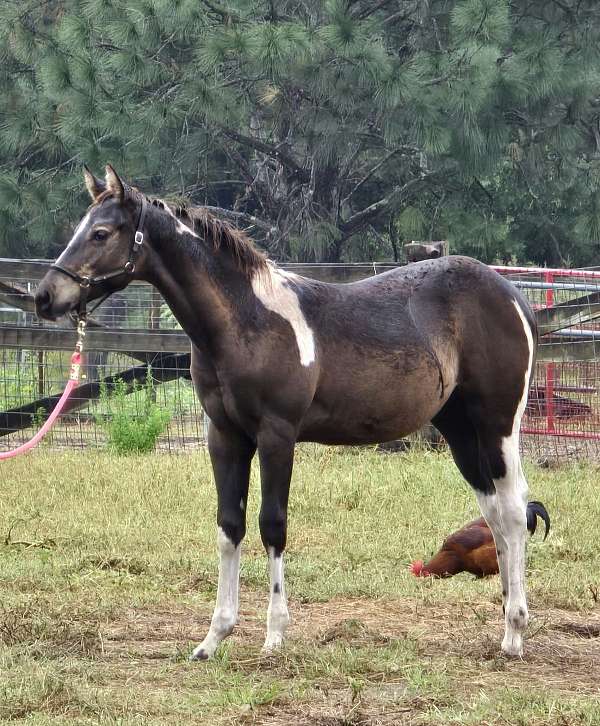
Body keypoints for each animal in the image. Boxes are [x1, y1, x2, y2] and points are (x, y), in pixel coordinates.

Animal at [35, 165, 537, 659]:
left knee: (514, 512)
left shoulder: (277, 435)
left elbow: (272, 525)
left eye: (101, 233)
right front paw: (214, 637)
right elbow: (229, 526)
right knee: (494, 515)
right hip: (459, 430)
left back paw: (514, 632)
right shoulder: (224, 436)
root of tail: (512, 295)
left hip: (497, 426)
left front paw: (274, 635)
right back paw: (505, 622)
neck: (247, 321)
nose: (44, 296)